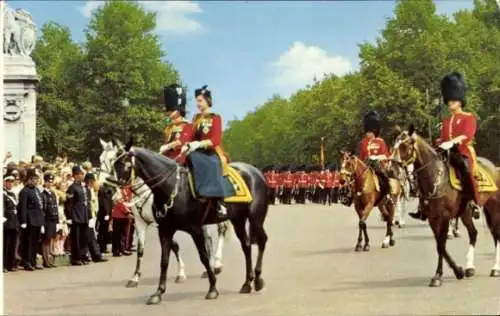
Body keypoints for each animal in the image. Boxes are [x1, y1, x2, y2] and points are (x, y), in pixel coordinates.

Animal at [110, 138, 270, 304]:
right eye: (114, 164)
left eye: (126, 164)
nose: (114, 191)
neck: (171, 188)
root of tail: (255, 171)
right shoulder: (164, 229)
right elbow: (164, 260)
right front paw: (158, 292)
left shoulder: (195, 229)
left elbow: (203, 257)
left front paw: (212, 288)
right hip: (238, 219)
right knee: (246, 246)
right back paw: (247, 283)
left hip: (255, 217)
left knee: (261, 240)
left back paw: (257, 279)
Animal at [392, 126, 500, 286]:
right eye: (395, 144)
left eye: (405, 145)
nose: (391, 168)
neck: (435, 178)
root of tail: (494, 166)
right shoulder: (433, 218)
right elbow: (439, 246)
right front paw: (454, 271)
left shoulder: (444, 216)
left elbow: (441, 245)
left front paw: (443, 275)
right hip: (465, 212)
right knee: (474, 233)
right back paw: (470, 267)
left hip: (493, 208)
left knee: (496, 235)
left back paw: (495, 268)